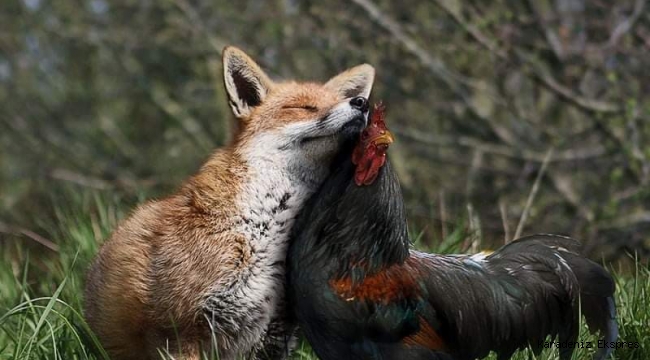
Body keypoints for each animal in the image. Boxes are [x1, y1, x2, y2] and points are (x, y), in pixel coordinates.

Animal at [83, 45, 374, 360]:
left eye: (342, 100)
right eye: (304, 107)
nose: (361, 103)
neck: (262, 229)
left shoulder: (274, 336)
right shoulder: (178, 334)